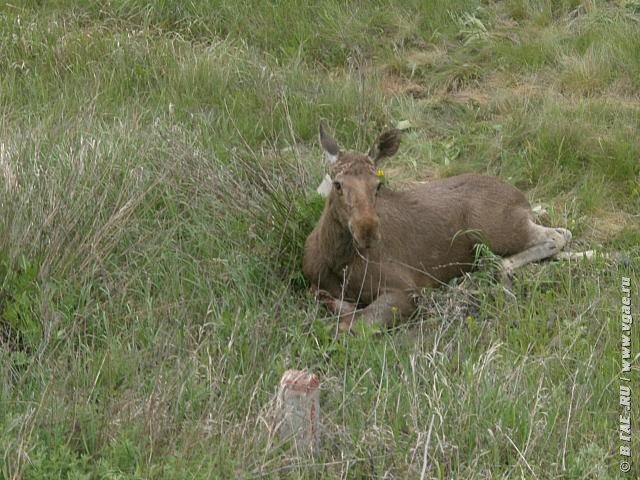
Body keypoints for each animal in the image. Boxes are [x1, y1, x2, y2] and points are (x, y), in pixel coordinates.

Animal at [302, 123, 572, 334]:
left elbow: (350, 325)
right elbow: (322, 297)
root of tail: (523, 200)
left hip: (492, 229)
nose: (366, 230)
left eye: (378, 185)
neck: (336, 260)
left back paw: (492, 269)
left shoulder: (406, 288)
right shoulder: (314, 280)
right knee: (560, 232)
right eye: (337, 184)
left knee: (557, 236)